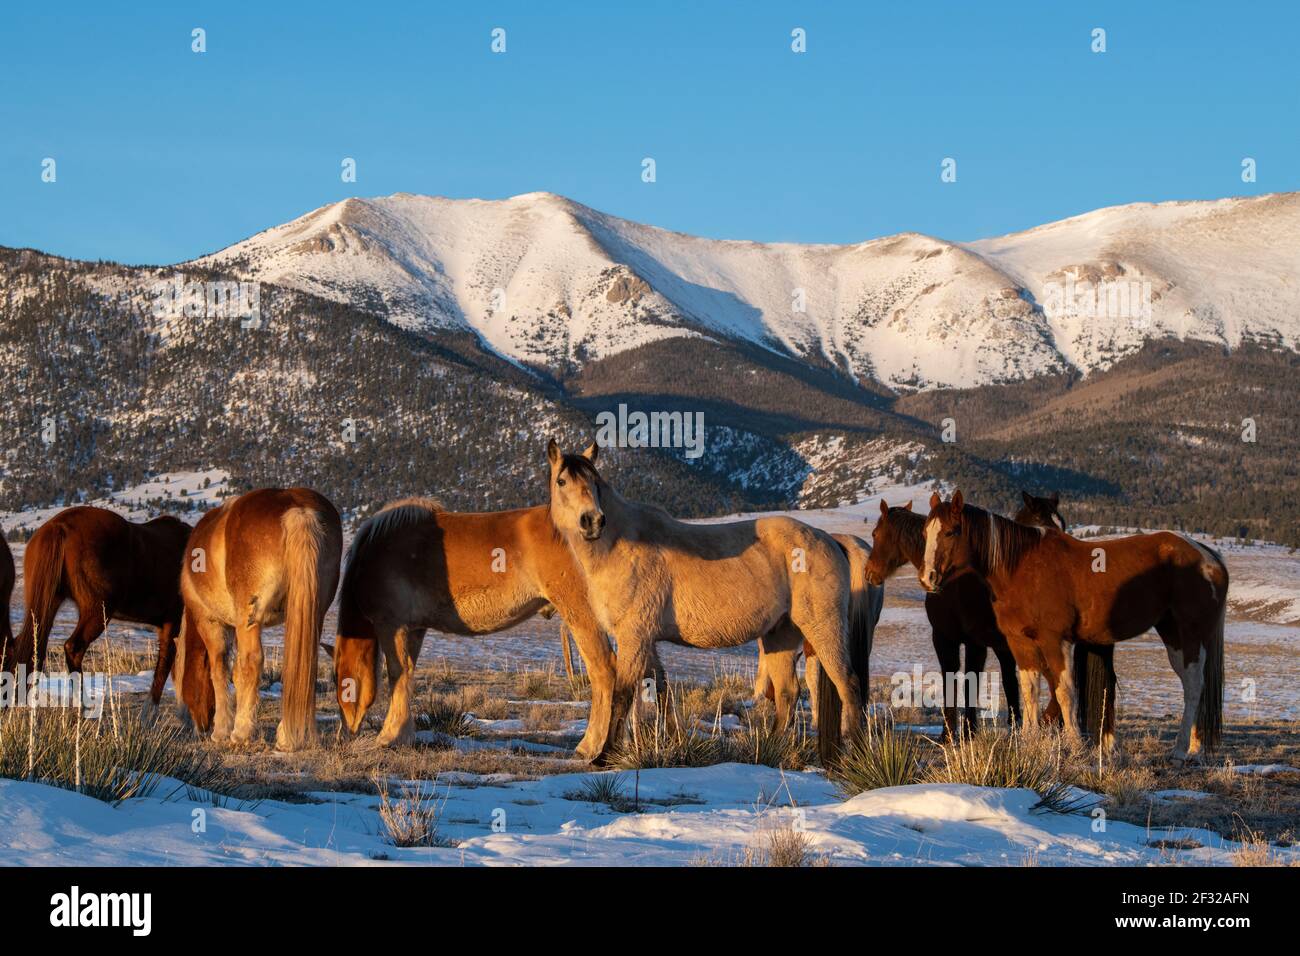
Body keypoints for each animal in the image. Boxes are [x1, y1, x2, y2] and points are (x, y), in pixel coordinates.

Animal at [5, 508, 189, 702]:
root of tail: (58, 525)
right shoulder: (173, 623)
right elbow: (164, 673)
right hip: (97, 611)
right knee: (73, 648)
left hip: (48, 604)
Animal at [175, 488, 341, 751]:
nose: (196, 728)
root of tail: (298, 510)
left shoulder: (210, 622)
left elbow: (220, 671)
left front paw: (222, 731)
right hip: (314, 614)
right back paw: (292, 736)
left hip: (248, 619)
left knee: (251, 661)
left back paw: (241, 733)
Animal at [331, 498, 652, 761]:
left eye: (336, 680)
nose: (342, 738)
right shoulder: (414, 630)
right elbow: (408, 675)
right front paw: (403, 733)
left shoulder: (391, 625)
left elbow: (397, 675)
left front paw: (389, 737)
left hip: (580, 615)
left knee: (604, 671)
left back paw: (591, 746)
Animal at [546, 440, 871, 764]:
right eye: (562, 481)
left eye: (595, 482)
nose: (592, 522)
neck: (621, 545)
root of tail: (830, 540)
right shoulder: (645, 639)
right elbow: (661, 688)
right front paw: (676, 742)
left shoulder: (633, 636)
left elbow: (622, 693)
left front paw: (604, 756)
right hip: (781, 635)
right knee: (788, 694)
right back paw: (770, 749)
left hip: (823, 628)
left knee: (848, 684)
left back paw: (857, 753)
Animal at [919, 491, 1226, 762]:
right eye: (925, 533)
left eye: (951, 532)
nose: (927, 578)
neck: (1021, 566)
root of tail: (1208, 556)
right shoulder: (1020, 643)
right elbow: (1029, 691)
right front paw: (1028, 741)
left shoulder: (1055, 641)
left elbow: (1064, 692)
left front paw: (1075, 744)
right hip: (1172, 634)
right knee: (1191, 683)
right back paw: (1194, 745)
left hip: (1190, 634)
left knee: (1193, 685)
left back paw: (1181, 749)